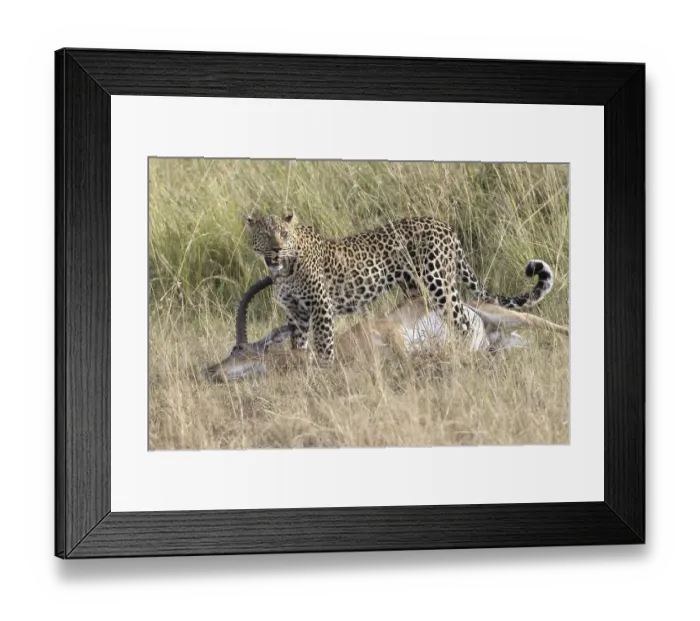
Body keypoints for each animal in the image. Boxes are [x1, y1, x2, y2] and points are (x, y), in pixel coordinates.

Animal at [245, 212, 554, 364]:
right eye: (266, 234)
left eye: (284, 234)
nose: (276, 248)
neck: (284, 270)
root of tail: (445, 227)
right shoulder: (296, 314)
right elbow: (299, 345)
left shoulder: (321, 308)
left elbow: (325, 345)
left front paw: (325, 371)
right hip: (415, 288)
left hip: (438, 283)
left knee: (464, 323)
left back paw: (464, 357)